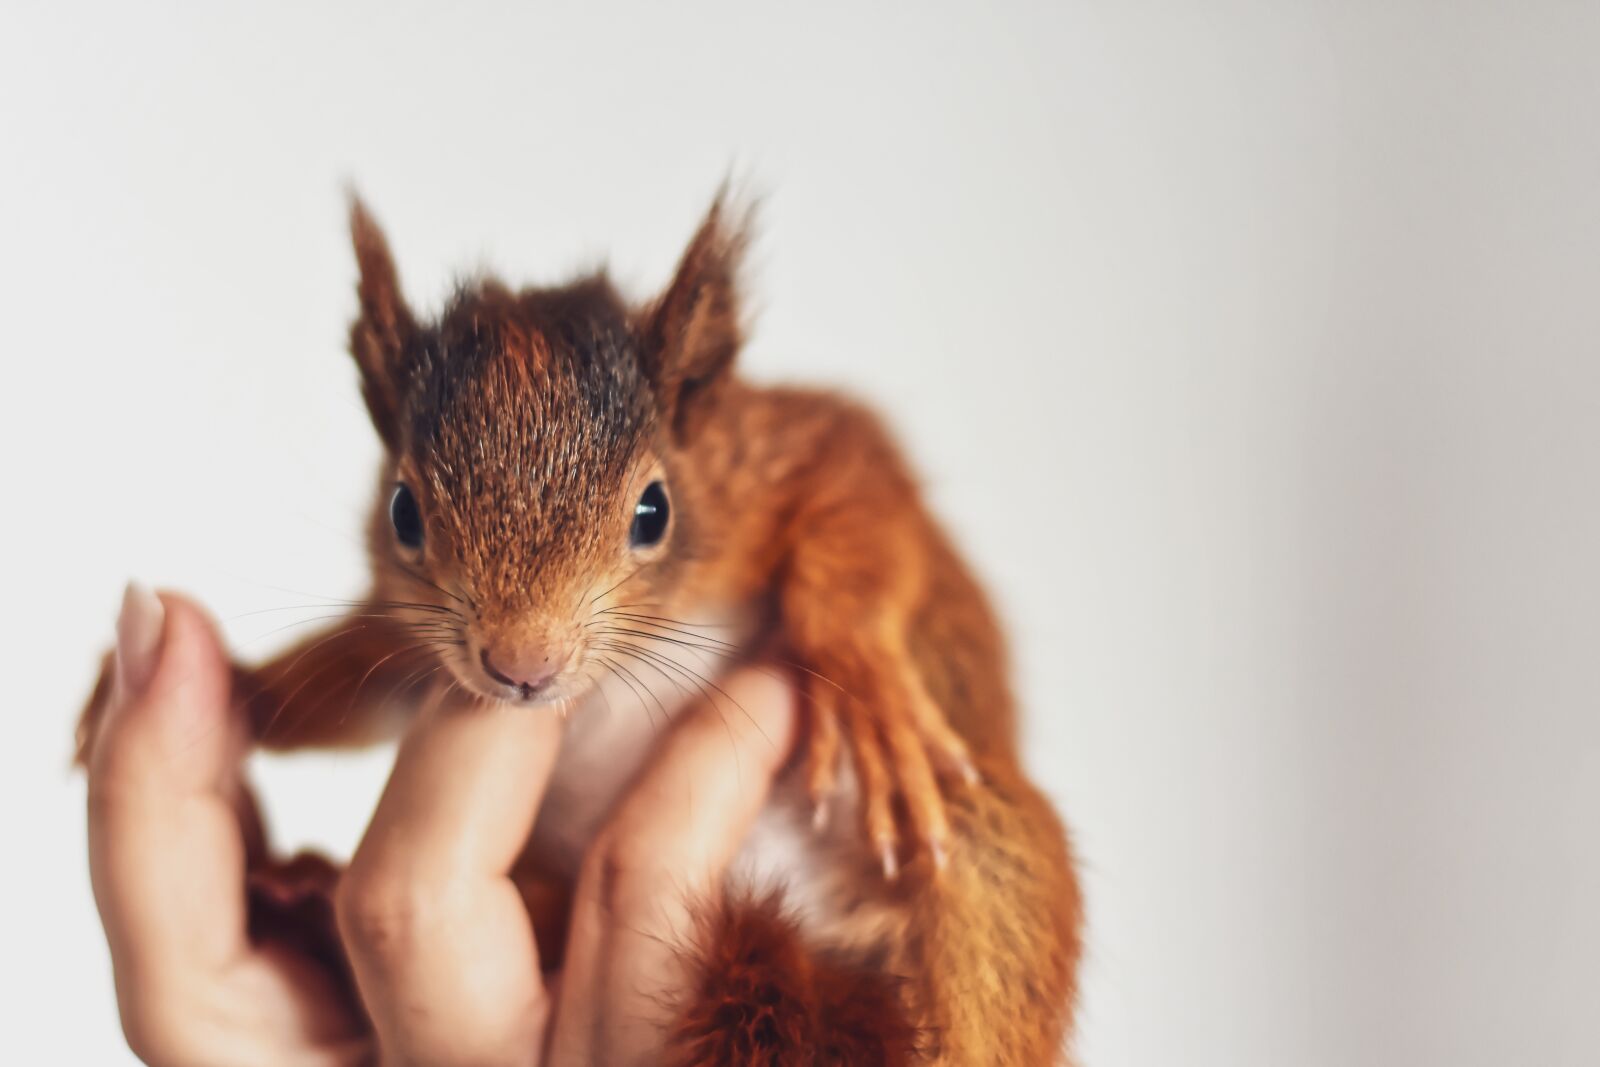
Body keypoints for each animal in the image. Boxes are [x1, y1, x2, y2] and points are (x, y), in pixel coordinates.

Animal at [78, 190, 1083, 1064]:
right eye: (403, 512)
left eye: (655, 511)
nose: (522, 663)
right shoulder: (413, 646)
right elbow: (350, 678)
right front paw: (243, 687)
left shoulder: (778, 455)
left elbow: (858, 497)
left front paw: (863, 673)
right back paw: (308, 895)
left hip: (989, 868)